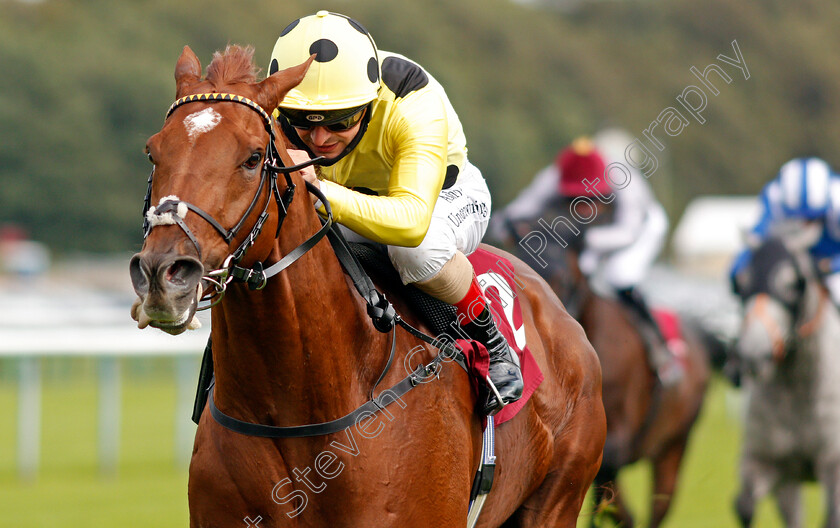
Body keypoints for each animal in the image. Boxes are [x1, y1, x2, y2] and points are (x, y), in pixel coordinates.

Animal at [732, 225, 840, 524]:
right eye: (741, 284)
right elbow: (743, 505)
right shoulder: (771, 464)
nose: (752, 353)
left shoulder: (834, 467)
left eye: (794, 284)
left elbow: (832, 517)